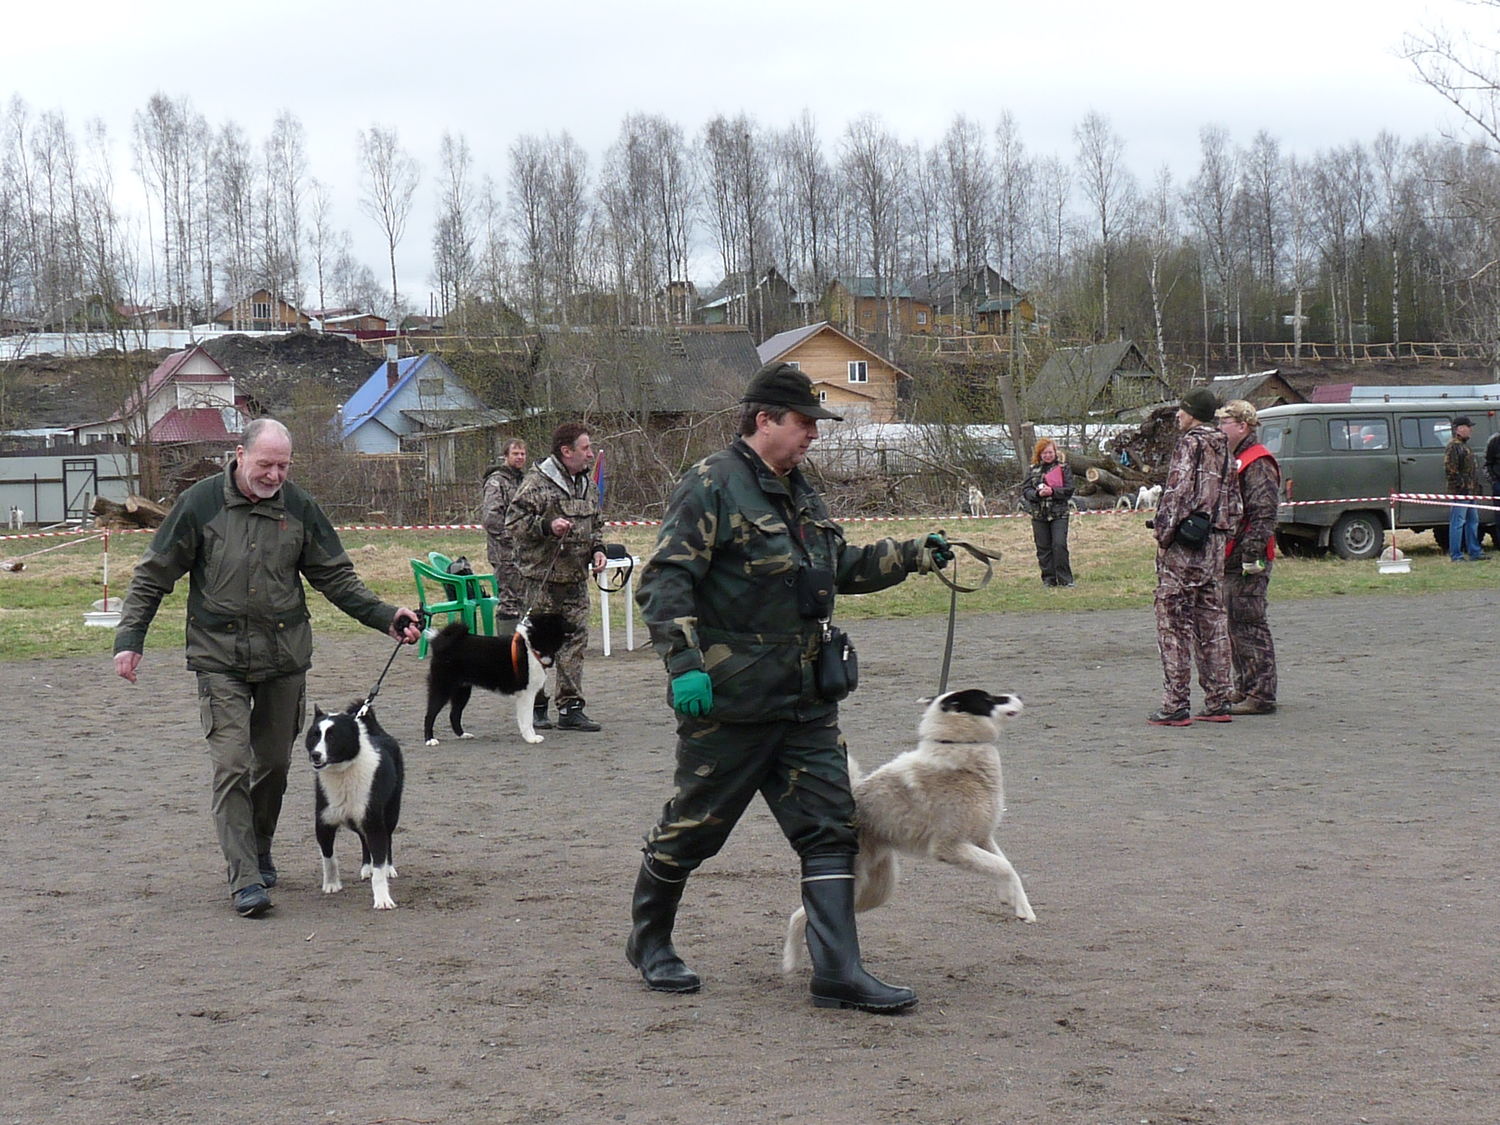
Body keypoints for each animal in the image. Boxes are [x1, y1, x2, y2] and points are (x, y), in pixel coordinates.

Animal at [306, 701, 405, 910]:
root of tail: (378, 732)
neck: (343, 772)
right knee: (363, 839)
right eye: (314, 735)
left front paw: (382, 898)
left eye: (333, 736)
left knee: (388, 839)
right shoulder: (324, 823)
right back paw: (366, 868)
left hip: (391, 811)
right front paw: (332, 884)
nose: (315, 755)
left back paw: (389, 868)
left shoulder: (374, 822)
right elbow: (328, 858)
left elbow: (379, 865)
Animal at [422, 614, 574, 746]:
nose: (577, 626)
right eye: (563, 621)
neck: (532, 646)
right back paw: (430, 740)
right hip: (442, 688)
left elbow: (525, 719)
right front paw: (531, 738)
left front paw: (530, 736)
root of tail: (440, 642)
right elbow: (527, 720)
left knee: (454, 715)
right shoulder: (527, 694)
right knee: (430, 715)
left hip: (462, 691)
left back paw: (463, 735)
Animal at [782, 689, 1036, 973]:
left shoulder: (981, 837)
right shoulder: (950, 847)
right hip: (857, 883)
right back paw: (791, 961)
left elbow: (1004, 866)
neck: (960, 747)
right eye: (990, 699)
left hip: (876, 890)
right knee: (800, 914)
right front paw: (1020, 907)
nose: (1018, 694)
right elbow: (1004, 866)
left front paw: (1015, 901)